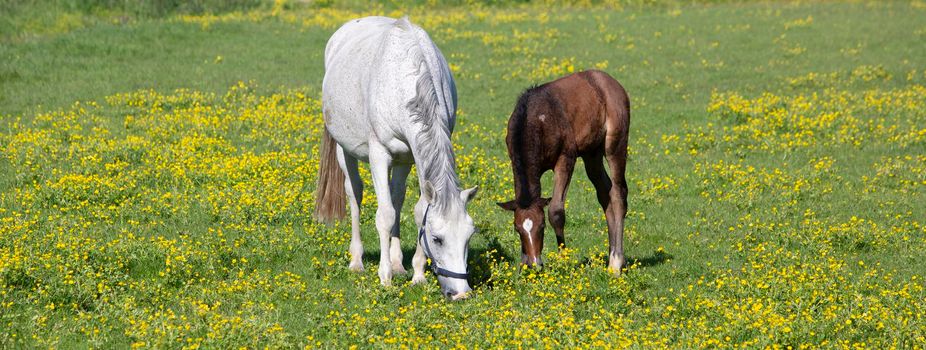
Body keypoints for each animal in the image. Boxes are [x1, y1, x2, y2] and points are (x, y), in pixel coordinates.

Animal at [318, 16, 478, 300]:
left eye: (469, 236)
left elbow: (414, 209)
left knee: (396, 196)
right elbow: (384, 215)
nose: (461, 293)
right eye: (437, 239)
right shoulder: (379, 154)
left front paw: (416, 274)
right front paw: (385, 277)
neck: (406, 81)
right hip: (344, 150)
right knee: (354, 193)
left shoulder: (410, 156)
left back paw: (397, 263)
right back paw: (357, 260)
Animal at [496, 69, 636, 274]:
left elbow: (556, 211)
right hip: (591, 153)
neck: (535, 119)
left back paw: (616, 263)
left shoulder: (566, 158)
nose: (535, 264)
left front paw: (564, 260)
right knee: (605, 193)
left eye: (542, 227)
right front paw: (523, 266)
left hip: (615, 144)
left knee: (618, 194)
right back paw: (614, 257)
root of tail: (611, 82)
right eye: (517, 229)